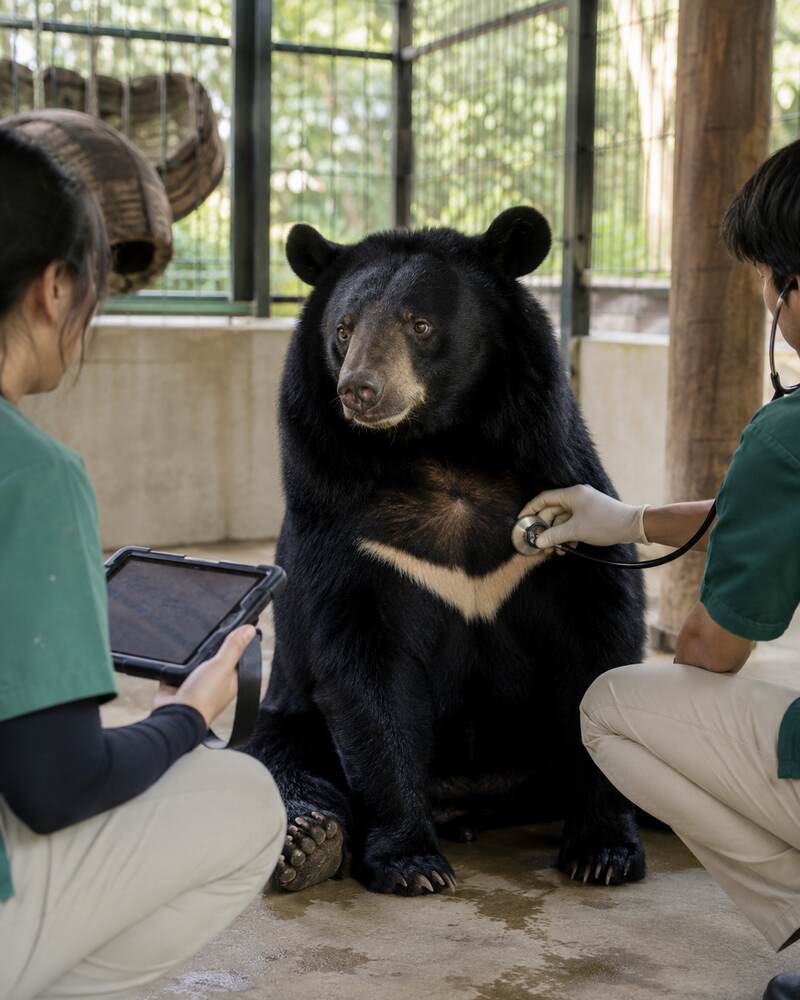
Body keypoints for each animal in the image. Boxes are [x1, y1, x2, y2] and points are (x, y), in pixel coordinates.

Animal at [245, 206, 647, 896]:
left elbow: (598, 642)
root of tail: (474, 806)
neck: (439, 449)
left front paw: (604, 852)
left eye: (420, 325)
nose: (360, 391)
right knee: (277, 762)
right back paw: (309, 843)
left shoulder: (560, 502)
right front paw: (413, 865)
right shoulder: (349, 534)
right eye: (344, 330)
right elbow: (366, 673)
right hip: (287, 713)